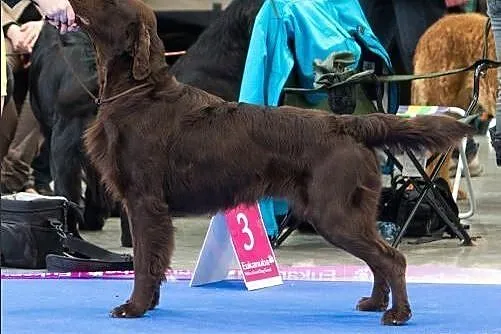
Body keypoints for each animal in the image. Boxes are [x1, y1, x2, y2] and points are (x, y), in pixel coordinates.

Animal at [69, 0, 472, 324]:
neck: (137, 92)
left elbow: (143, 260)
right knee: (379, 259)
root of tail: (348, 123)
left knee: (392, 259)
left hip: (335, 213)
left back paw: (397, 314)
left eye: (111, 2)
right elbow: (150, 258)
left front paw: (134, 308)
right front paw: (148, 304)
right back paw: (375, 303)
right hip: (348, 213)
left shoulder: (144, 201)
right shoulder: (146, 205)